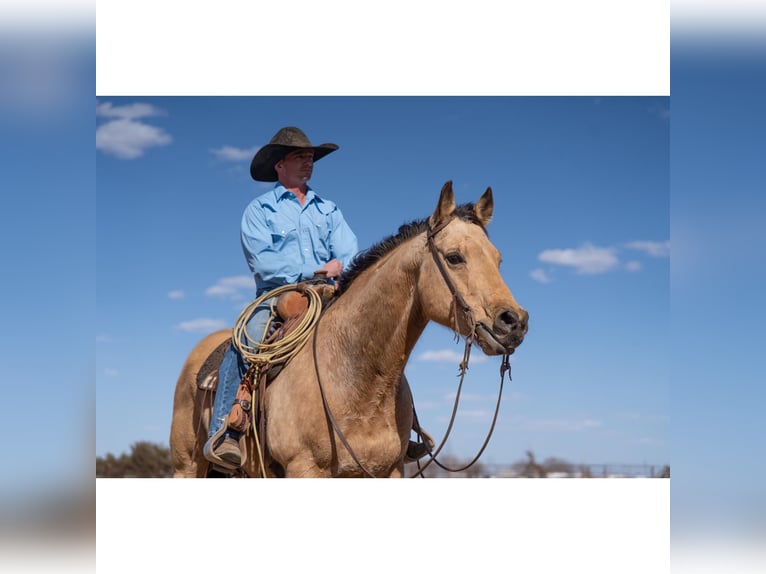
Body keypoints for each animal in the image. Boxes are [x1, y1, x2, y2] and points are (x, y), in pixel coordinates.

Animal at [170, 182, 528, 480]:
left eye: (498, 259)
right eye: (454, 257)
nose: (514, 321)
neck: (358, 380)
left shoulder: (390, 470)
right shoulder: (305, 469)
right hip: (187, 465)